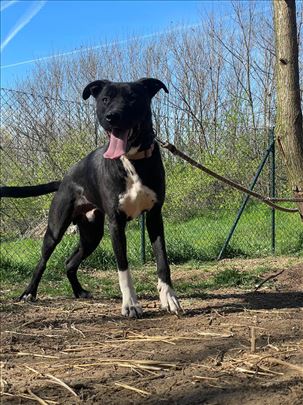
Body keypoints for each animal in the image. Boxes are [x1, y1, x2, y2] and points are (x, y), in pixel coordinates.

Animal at [0, 78, 180, 316]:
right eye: (105, 99)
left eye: (133, 97)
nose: (112, 116)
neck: (131, 160)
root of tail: (64, 180)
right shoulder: (116, 223)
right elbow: (123, 268)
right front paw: (130, 304)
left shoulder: (154, 217)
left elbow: (162, 261)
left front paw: (169, 297)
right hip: (56, 229)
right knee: (42, 261)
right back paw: (29, 293)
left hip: (91, 234)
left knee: (69, 262)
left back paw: (79, 291)